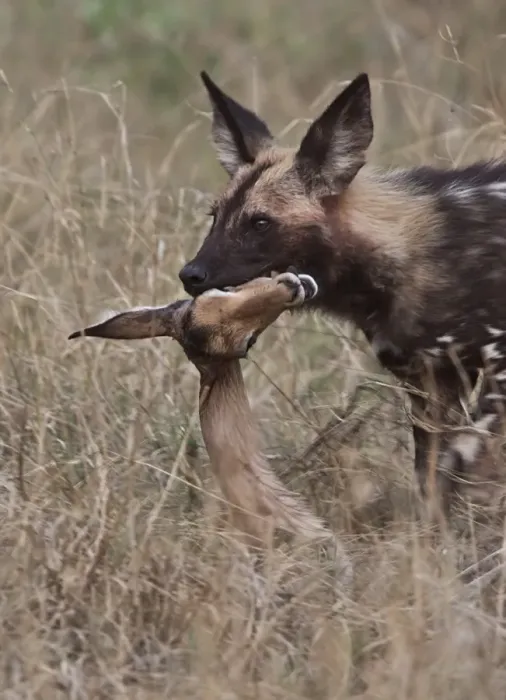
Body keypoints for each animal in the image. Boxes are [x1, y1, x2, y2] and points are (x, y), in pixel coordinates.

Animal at [178, 70, 506, 517]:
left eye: (260, 223)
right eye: (215, 217)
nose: (190, 275)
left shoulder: (495, 368)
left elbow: (463, 461)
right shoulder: (432, 386)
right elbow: (432, 485)